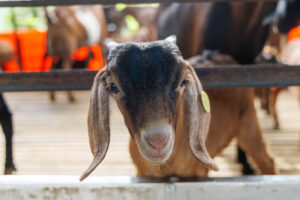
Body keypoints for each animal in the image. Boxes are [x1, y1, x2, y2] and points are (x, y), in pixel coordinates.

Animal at [79, 38, 276, 181]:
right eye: (113, 86)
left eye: (182, 82)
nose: (158, 141)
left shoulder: (199, 172)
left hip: (248, 119)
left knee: (266, 159)